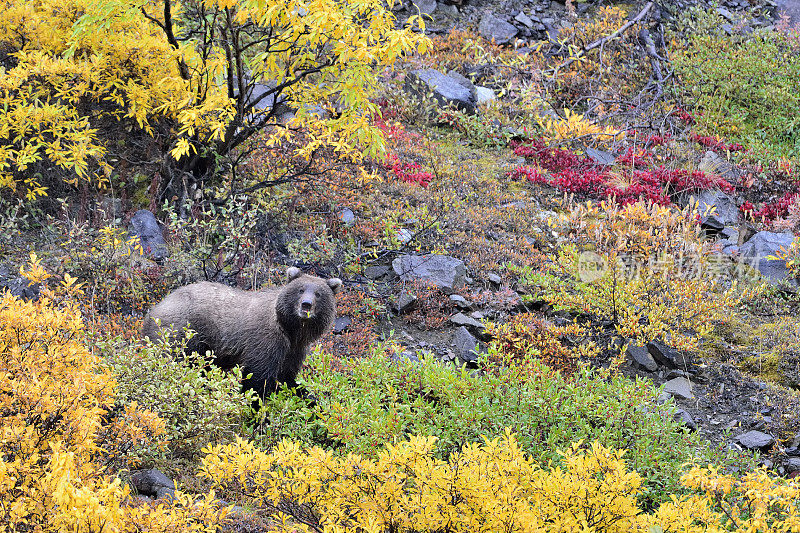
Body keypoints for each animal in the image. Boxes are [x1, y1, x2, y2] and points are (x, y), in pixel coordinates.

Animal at [141, 268, 340, 396]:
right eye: (300, 289)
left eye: (318, 294)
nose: (306, 305)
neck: (291, 329)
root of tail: (153, 310)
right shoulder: (265, 341)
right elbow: (257, 380)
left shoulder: (294, 349)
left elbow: (287, 378)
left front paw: (309, 397)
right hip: (180, 334)